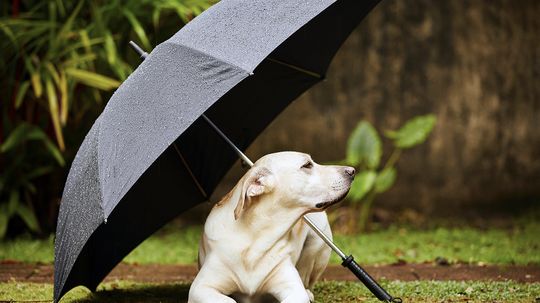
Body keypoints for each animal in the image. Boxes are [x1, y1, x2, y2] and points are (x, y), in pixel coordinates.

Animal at [189, 153, 354, 302]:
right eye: (307, 165)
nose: (352, 171)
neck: (255, 239)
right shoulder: (200, 288)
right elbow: (228, 300)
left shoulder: (294, 290)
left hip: (317, 246)